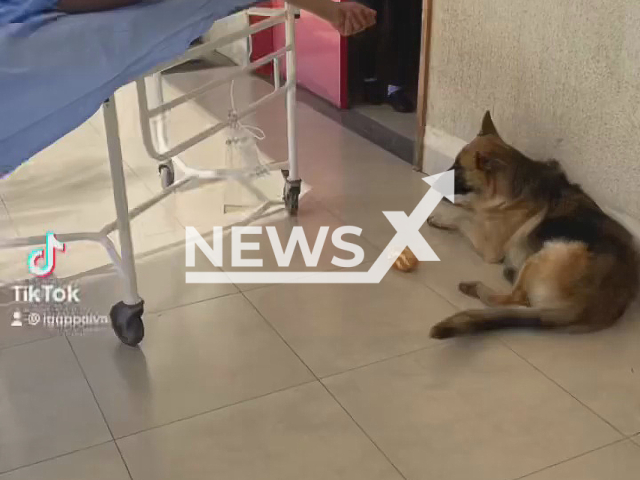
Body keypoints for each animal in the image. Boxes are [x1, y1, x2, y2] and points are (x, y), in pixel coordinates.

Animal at [428, 111, 636, 340]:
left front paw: (444, 217)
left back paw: (480, 287)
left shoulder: (490, 245)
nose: (432, 182)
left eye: (459, 169)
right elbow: (470, 207)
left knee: (511, 299)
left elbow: (463, 218)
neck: (511, 186)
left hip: (552, 252)